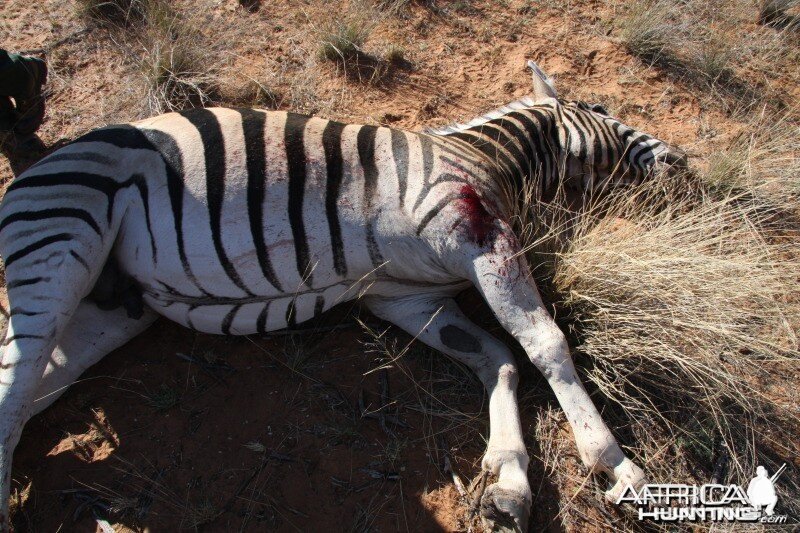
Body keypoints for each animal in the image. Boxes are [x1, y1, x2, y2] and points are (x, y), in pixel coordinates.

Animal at [0, 61, 688, 528]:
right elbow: (544, 343)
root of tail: (35, 171)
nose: (681, 161)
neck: (483, 154)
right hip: (62, 241)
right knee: (15, 390)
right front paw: (617, 465)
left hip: (111, 308)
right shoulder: (477, 234)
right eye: (602, 108)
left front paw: (510, 480)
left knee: (29, 389)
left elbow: (496, 358)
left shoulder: (404, 296)